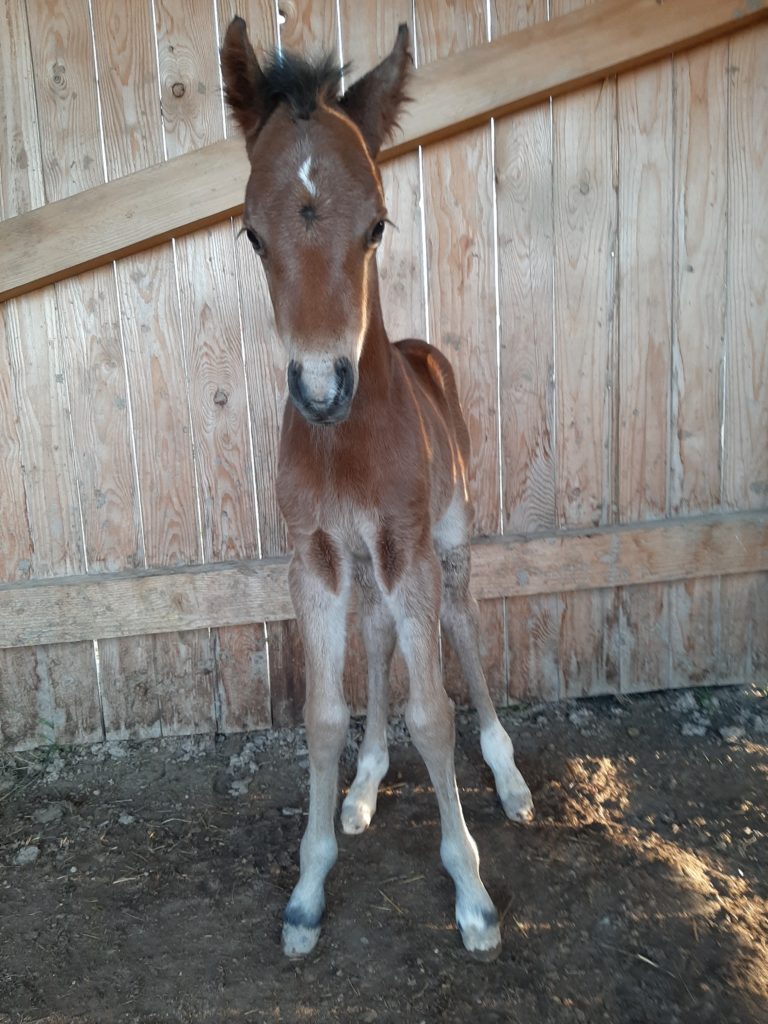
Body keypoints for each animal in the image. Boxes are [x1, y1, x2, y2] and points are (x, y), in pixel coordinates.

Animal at [221, 19, 536, 962]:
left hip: (449, 543)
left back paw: (510, 776)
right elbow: (324, 716)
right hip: (368, 566)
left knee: (462, 628)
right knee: (377, 637)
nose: (324, 387)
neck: (344, 449)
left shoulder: (410, 547)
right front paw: (308, 889)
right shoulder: (318, 559)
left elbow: (433, 713)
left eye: (376, 226)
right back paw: (364, 787)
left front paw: (472, 895)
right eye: (252, 234)